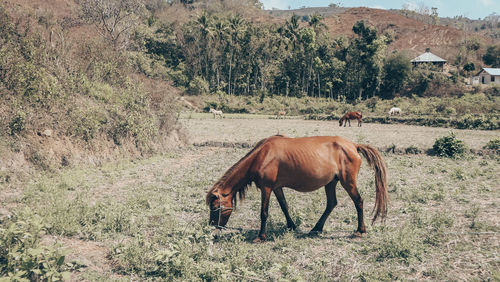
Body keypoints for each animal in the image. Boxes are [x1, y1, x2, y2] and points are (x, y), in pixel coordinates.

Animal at [205, 134, 388, 242]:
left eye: (215, 208)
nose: (212, 230)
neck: (263, 155)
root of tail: (353, 145)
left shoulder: (266, 188)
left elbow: (263, 212)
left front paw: (261, 236)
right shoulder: (277, 188)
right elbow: (284, 206)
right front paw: (291, 226)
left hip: (348, 182)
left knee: (359, 201)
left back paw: (359, 230)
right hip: (331, 182)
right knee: (331, 203)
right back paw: (316, 229)